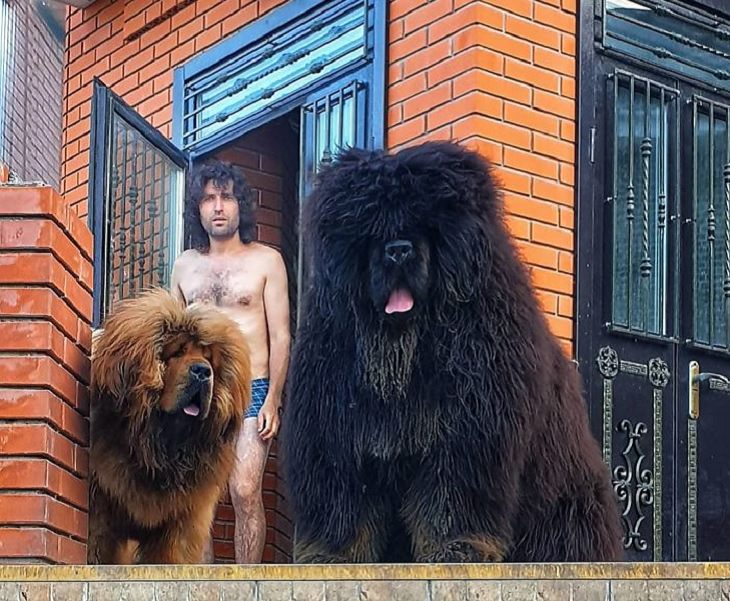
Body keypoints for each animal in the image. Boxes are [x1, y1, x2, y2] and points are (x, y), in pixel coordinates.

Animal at [282, 141, 620, 564]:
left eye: (426, 223)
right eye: (371, 228)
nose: (398, 250)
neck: (401, 349)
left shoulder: (468, 432)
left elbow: (449, 500)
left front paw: (457, 549)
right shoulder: (337, 431)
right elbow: (344, 506)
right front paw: (334, 557)